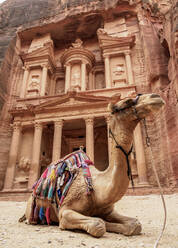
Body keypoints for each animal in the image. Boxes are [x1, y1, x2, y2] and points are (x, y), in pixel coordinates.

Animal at [21, 93, 165, 238]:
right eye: (126, 102)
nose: (155, 97)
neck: (96, 188)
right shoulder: (65, 210)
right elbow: (98, 224)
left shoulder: (109, 210)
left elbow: (135, 224)